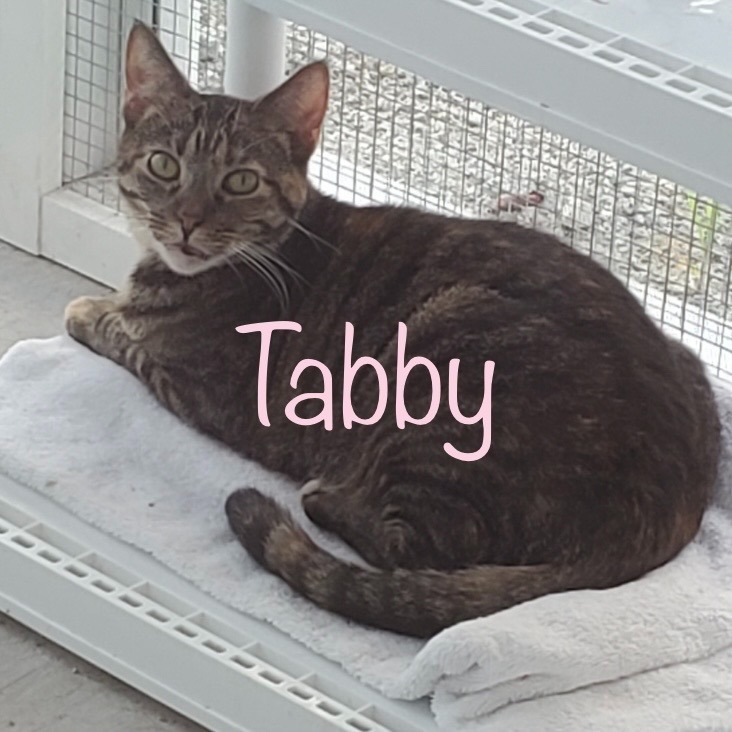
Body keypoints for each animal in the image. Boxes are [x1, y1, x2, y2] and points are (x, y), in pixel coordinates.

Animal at [67, 22, 720, 636]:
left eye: (241, 181)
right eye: (164, 165)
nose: (186, 222)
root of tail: (667, 514)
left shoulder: (205, 391)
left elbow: (125, 337)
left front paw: (90, 311)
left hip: (443, 386)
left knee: (420, 552)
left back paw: (329, 498)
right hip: (686, 363)